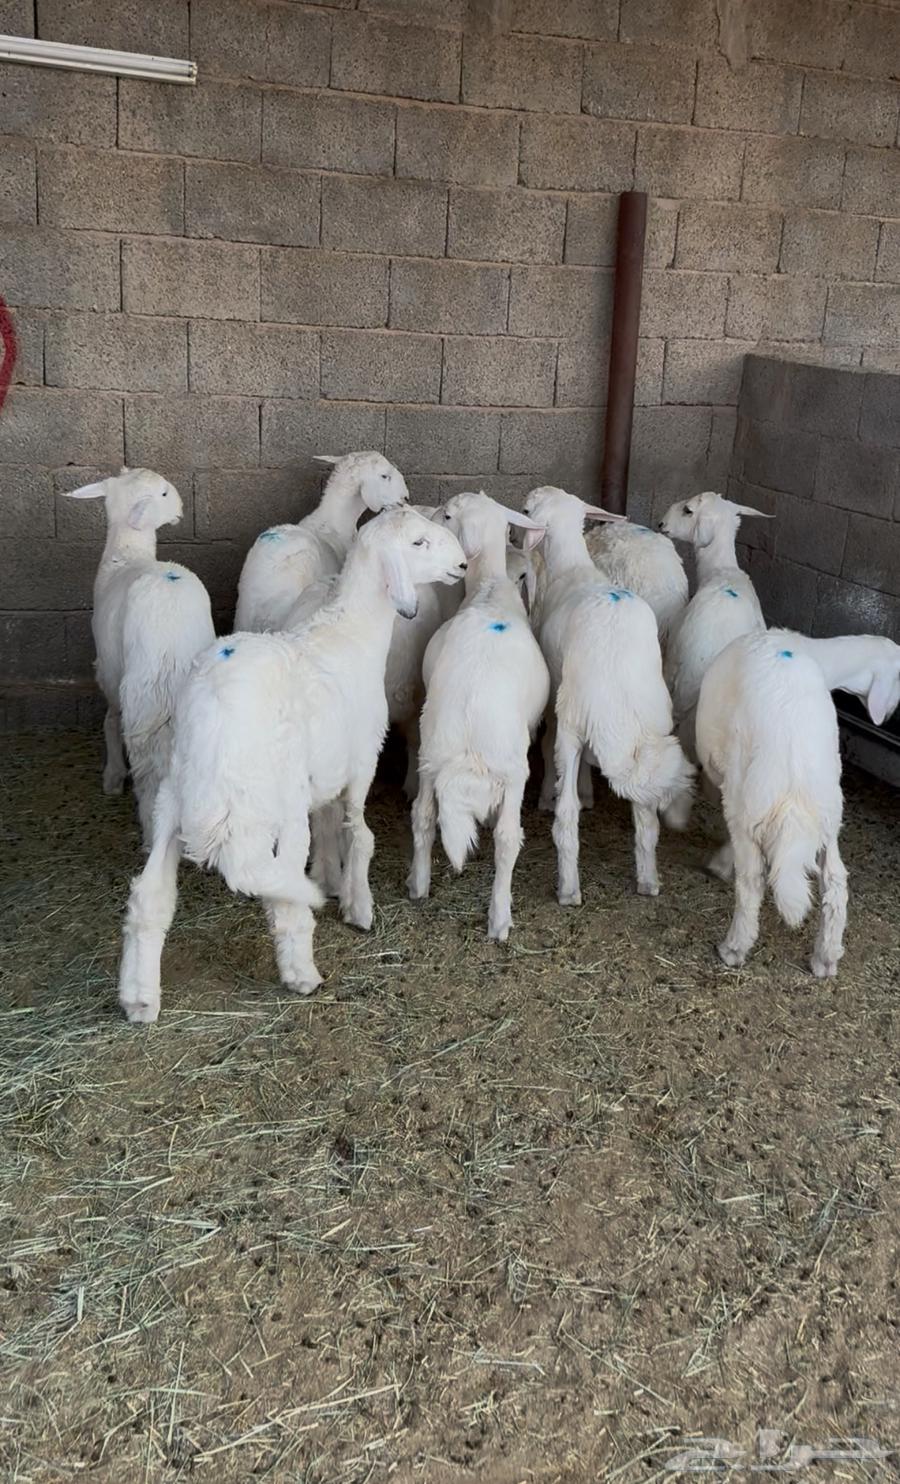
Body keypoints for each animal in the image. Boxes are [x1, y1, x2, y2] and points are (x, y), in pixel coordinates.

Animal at [63, 468, 214, 846]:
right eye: (163, 494)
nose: (181, 508)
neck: (127, 555)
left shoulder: (108, 670)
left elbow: (109, 719)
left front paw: (113, 776)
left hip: (143, 703)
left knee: (149, 777)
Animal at [117, 507, 467, 1024]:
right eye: (419, 542)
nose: (463, 565)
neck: (353, 633)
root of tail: (216, 717)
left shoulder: (323, 773)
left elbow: (329, 825)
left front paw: (330, 879)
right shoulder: (362, 759)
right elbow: (359, 833)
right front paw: (358, 906)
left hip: (174, 797)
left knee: (149, 897)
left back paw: (140, 998)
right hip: (270, 804)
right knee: (278, 892)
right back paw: (302, 973)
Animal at [407, 491, 550, 941]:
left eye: (447, 515)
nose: (429, 517)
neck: (489, 588)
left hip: (430, 757)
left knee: (423, 816)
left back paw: (418, 885)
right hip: (514, 769)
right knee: (508, 839)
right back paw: (499, 917)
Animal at [523, 486, 694, 904]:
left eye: (527, 509)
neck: (571, 566)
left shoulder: (556, 697)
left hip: (574, 712)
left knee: (567, 810)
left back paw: (568, 888)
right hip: (652, 722)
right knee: (647, 817)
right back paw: (648, 880)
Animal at [695, 629, 900, 977]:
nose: (889, 716)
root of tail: (794, 764)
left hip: (747, 801)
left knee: (751, 882)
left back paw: (733, 947)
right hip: (828, 813)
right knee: (836, 882)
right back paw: (826, 958)